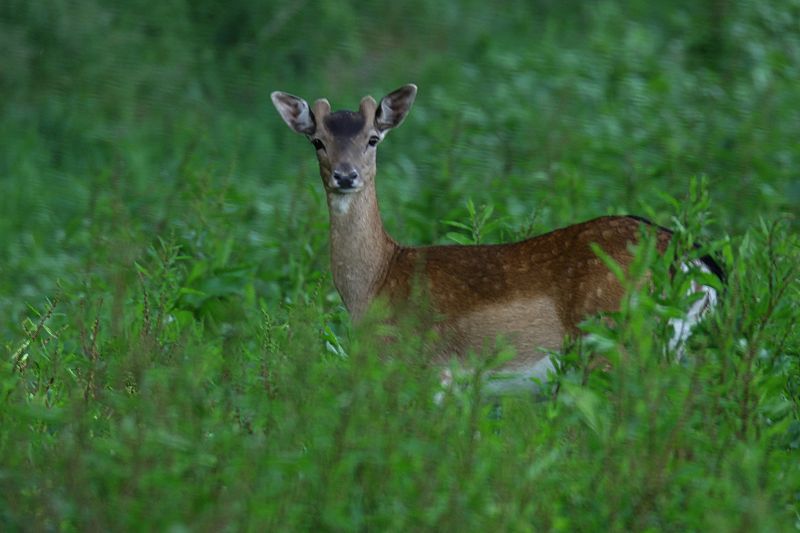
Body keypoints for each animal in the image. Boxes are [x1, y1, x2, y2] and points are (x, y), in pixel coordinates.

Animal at [270, 84, 724, 394]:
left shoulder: (432, 370)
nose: (345, 175)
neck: (376, 284)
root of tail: (694, 261)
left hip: (613, 337)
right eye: (317, 141)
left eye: (372, 138)